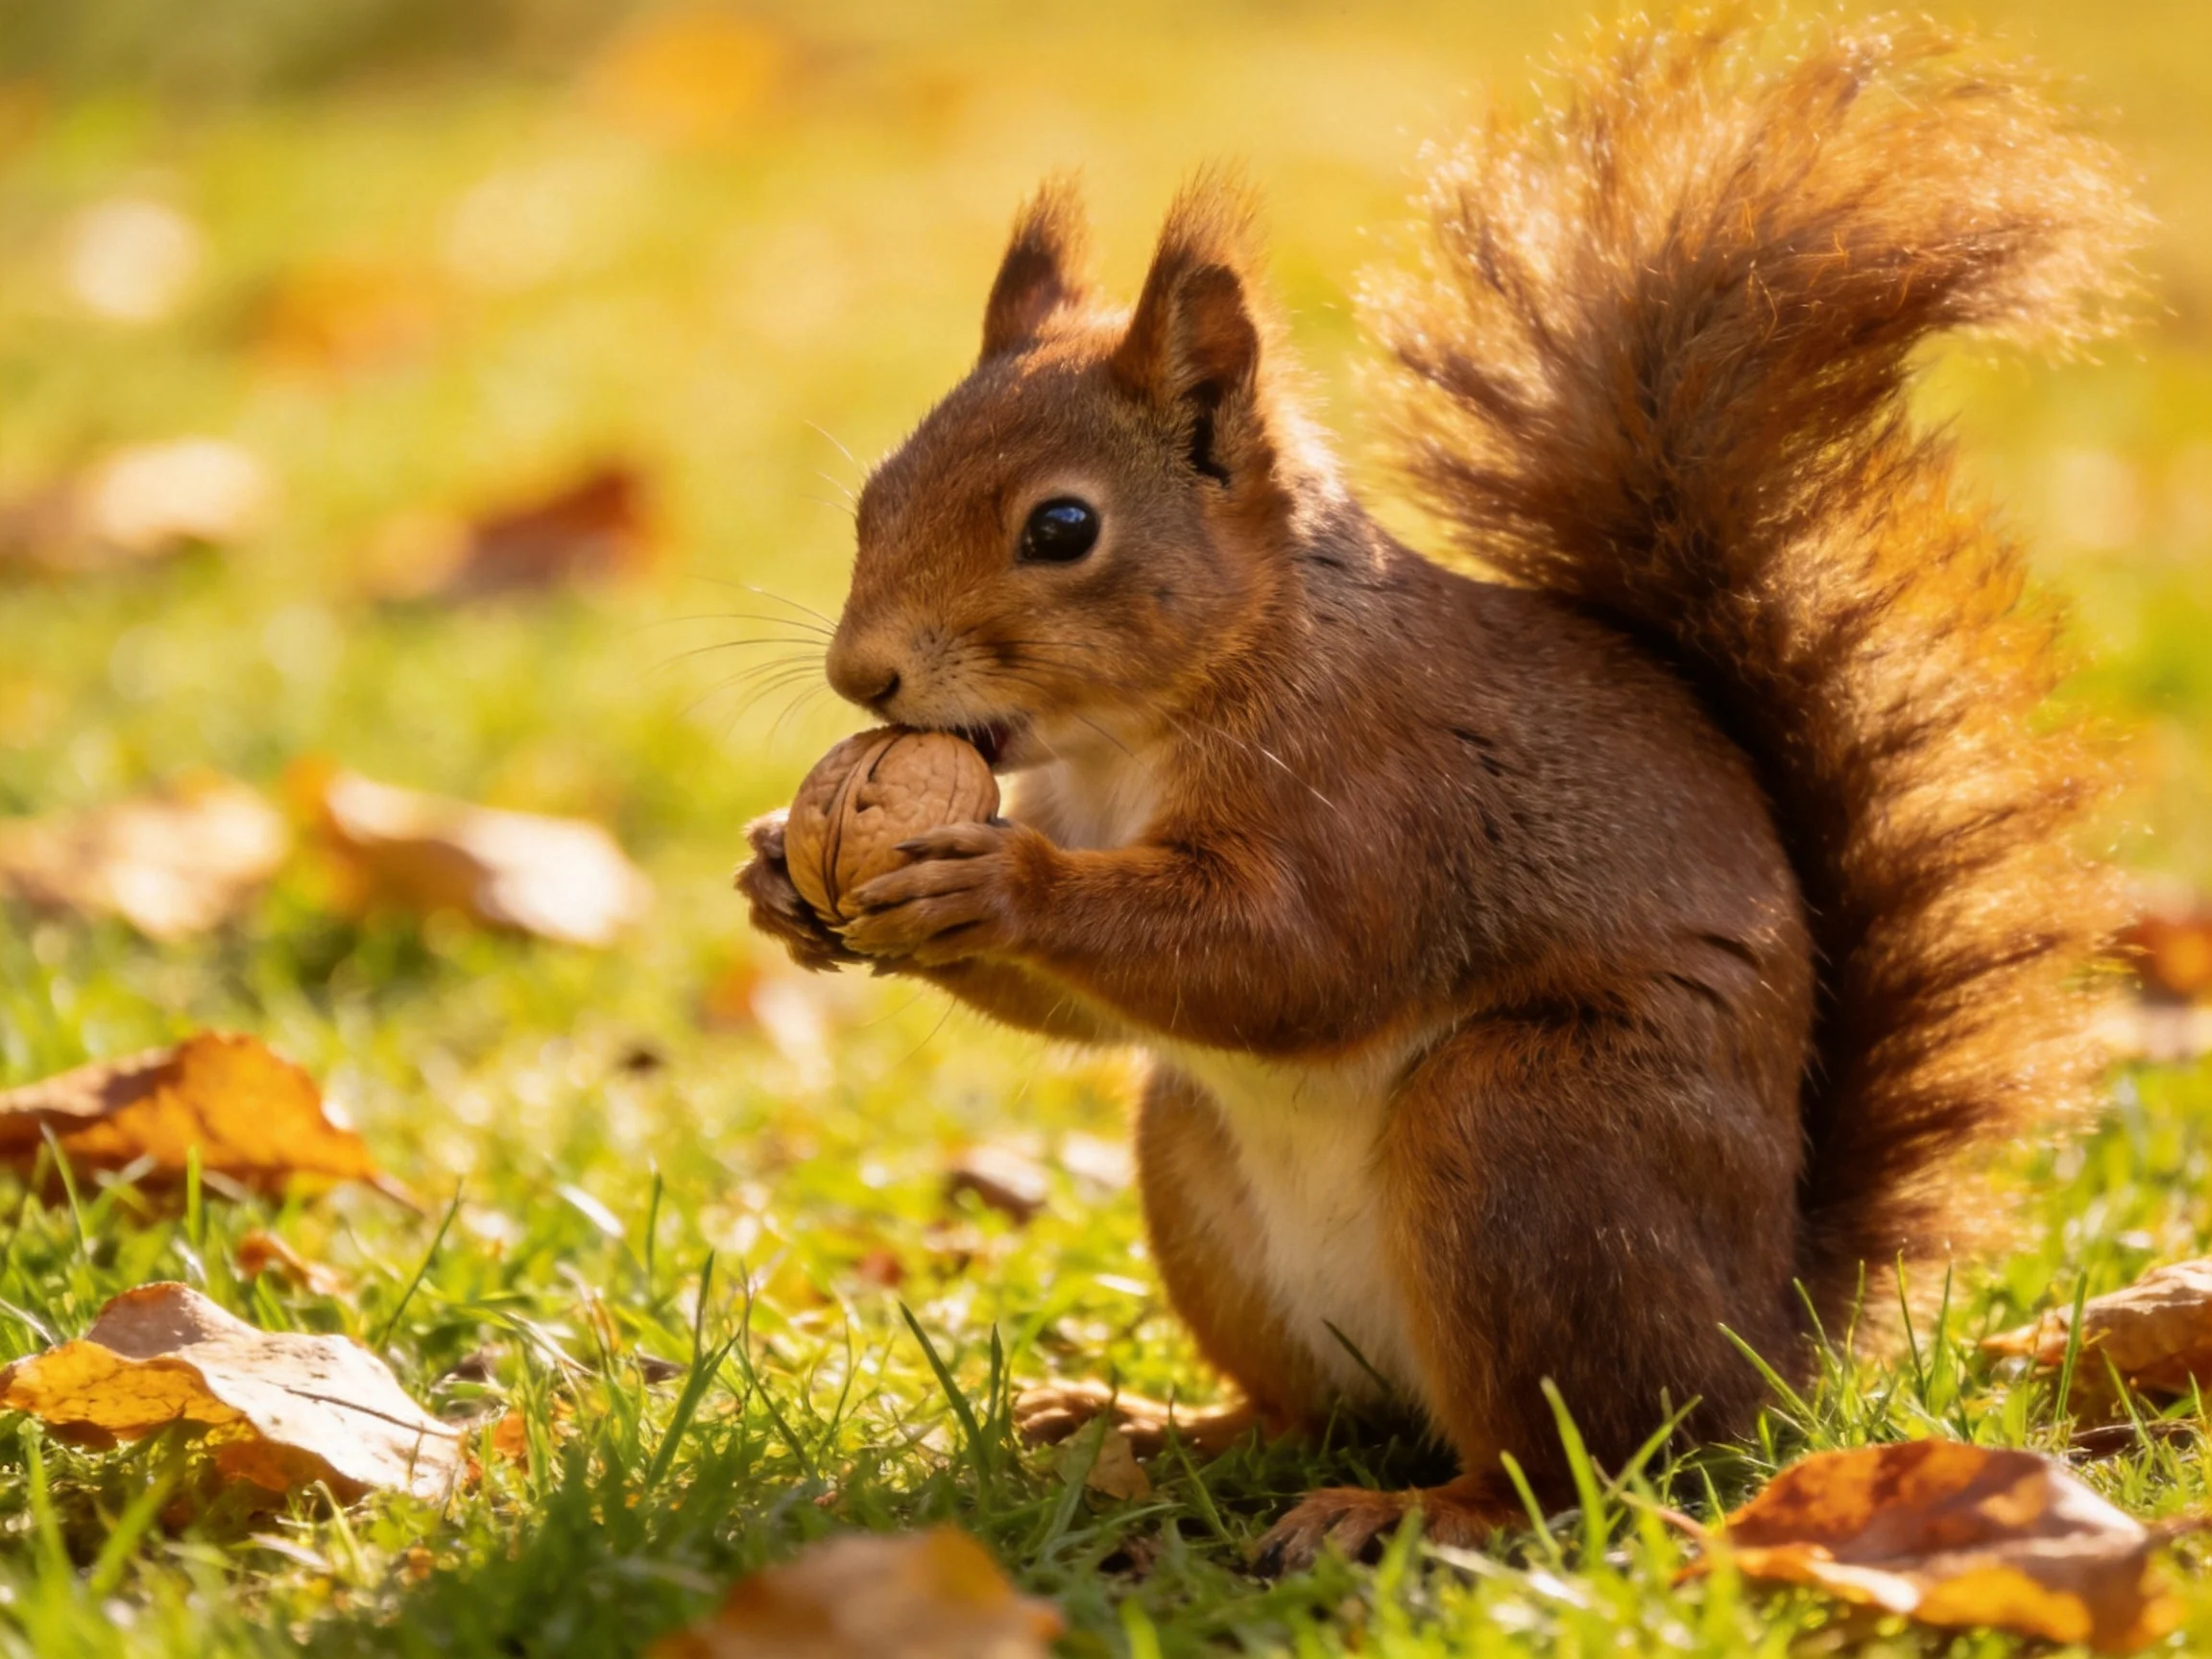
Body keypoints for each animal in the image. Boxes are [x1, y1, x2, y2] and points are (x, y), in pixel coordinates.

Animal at [739, 12, 2142, 1570]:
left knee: (1578, 1468)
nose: (862, 675)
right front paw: (781, 876)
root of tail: (1768, 1346)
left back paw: (1408, 1513)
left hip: (1529, 1144)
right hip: (1201, 1164)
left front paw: (1000, 885)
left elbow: (1294, 957)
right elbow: (1098, 1009)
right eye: (875, 493)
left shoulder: (1384, 794)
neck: (1138, 735)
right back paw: (1152, 1429)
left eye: (1061, 528)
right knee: (1315, 1410)